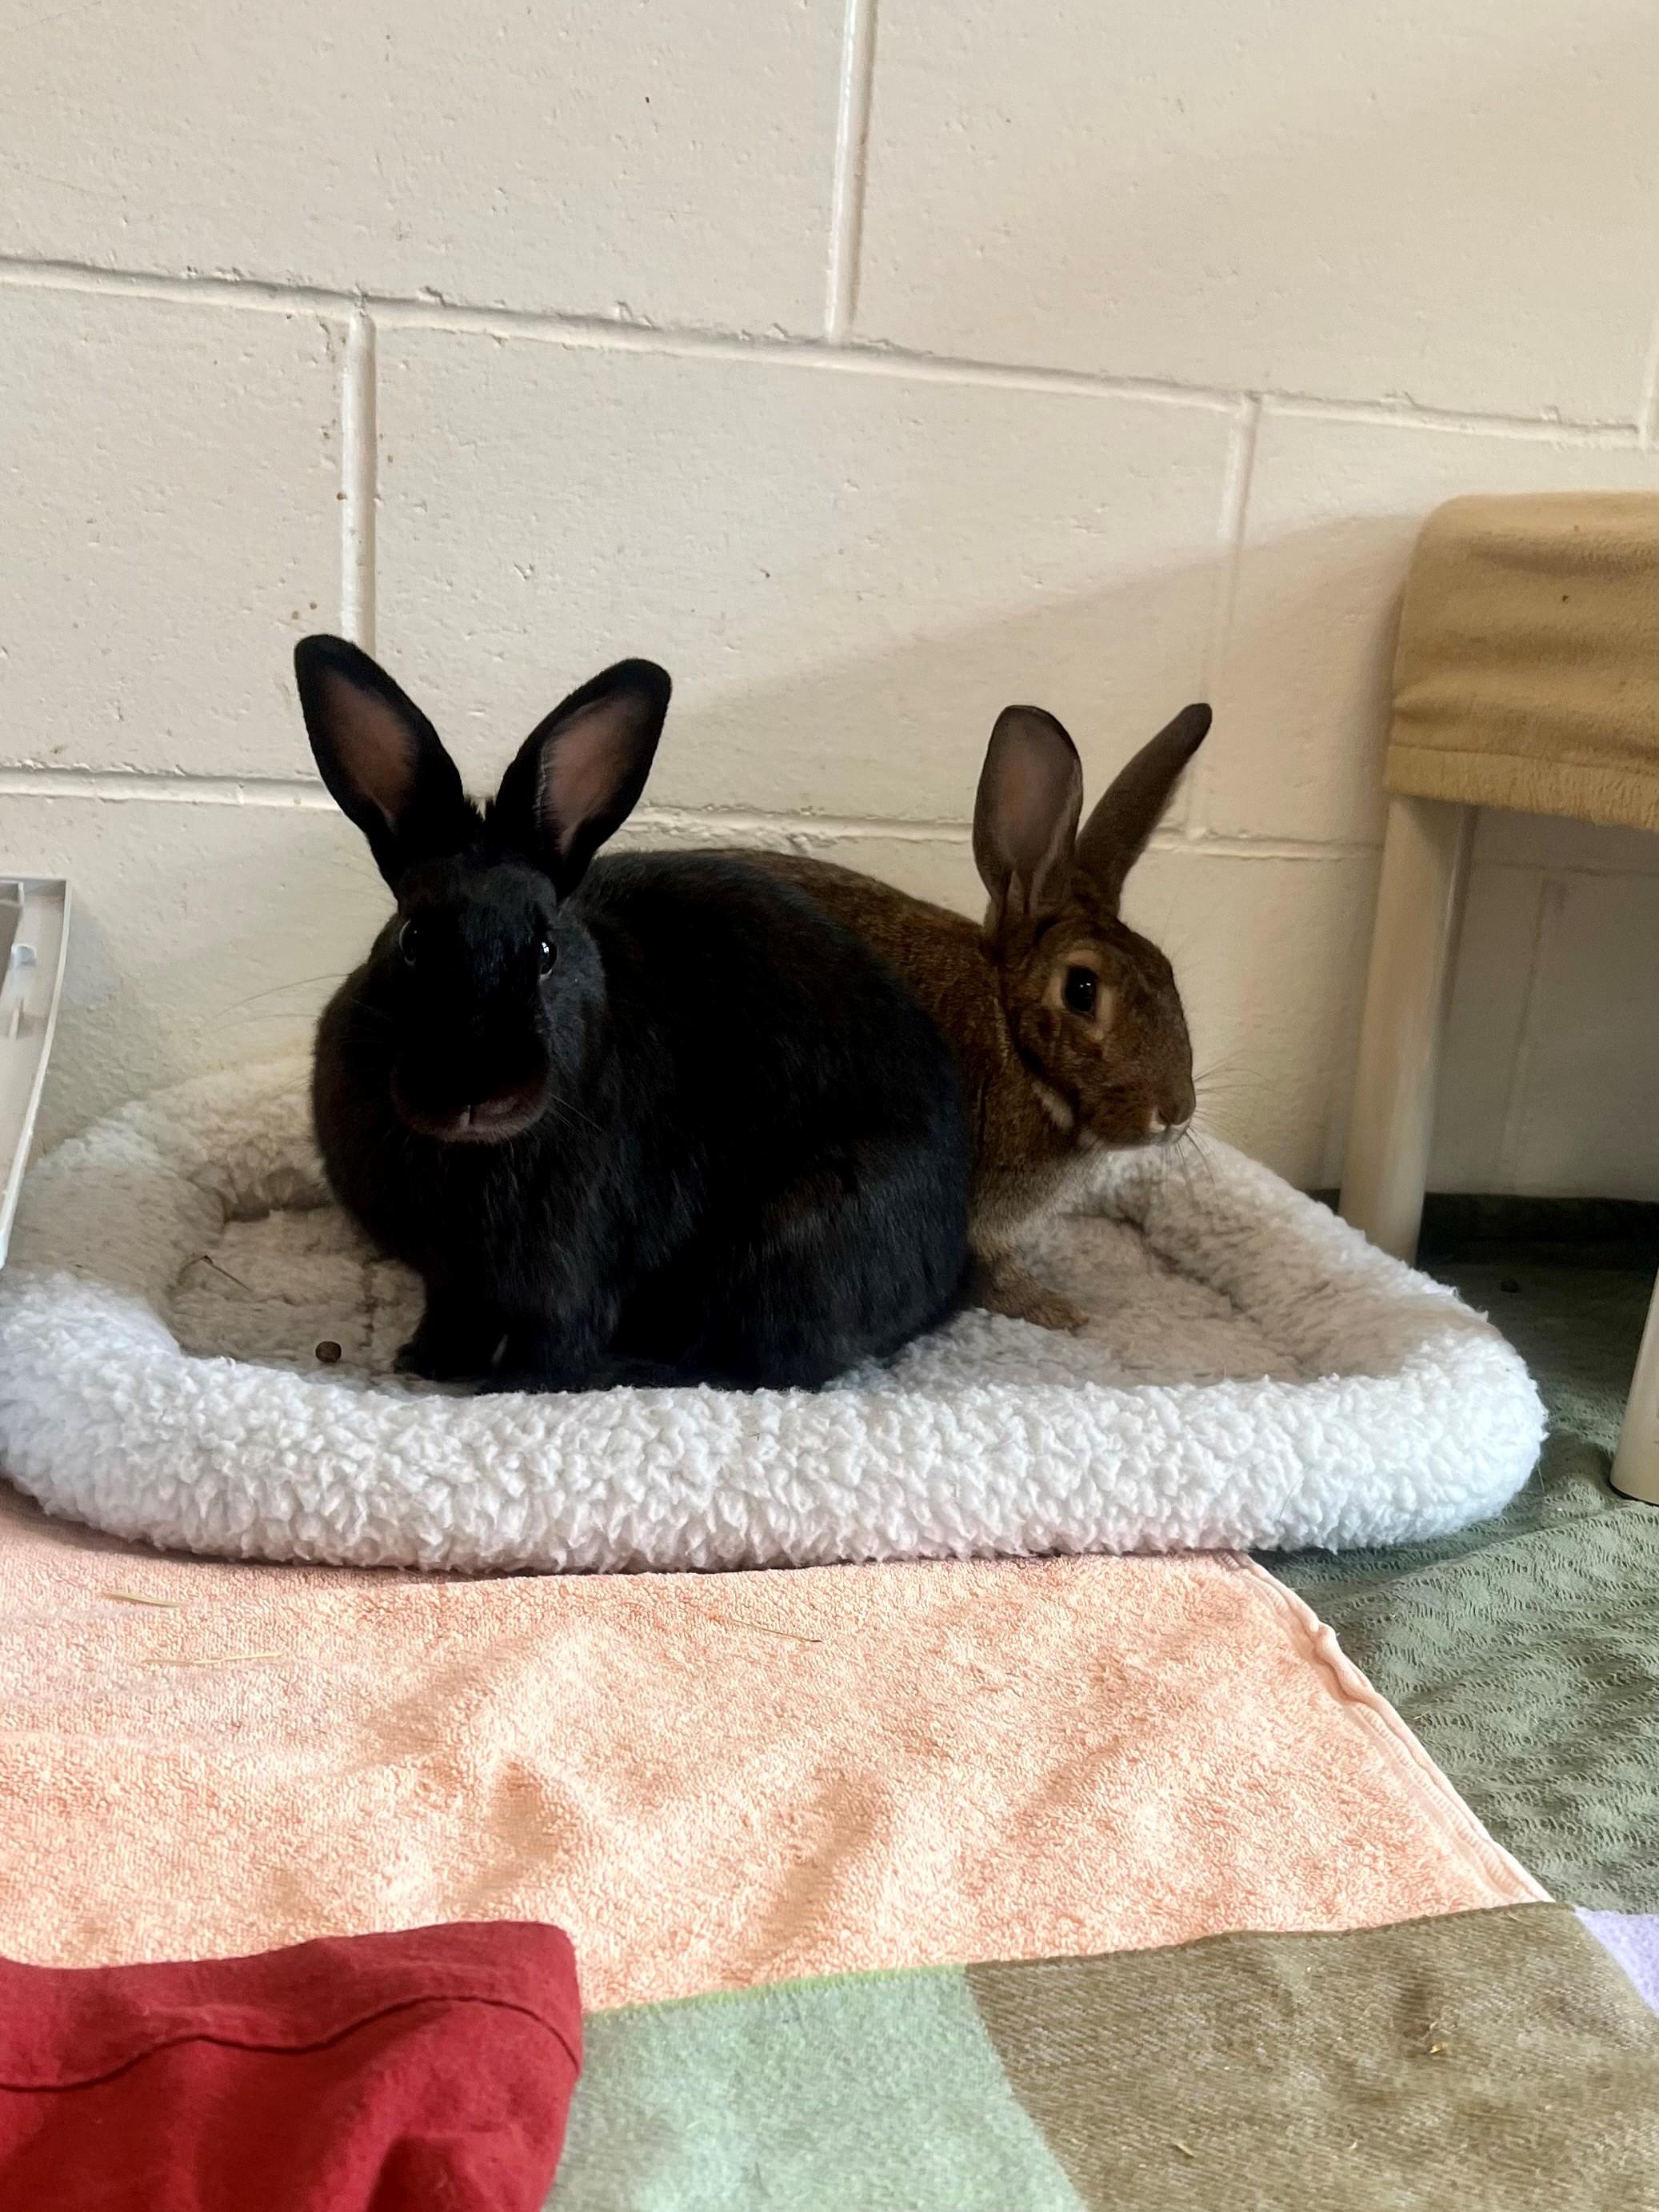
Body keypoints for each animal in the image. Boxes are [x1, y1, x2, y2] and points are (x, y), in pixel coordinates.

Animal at [294, 636, 971, 1393]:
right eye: (411, 940)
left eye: (546, 950)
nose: (474, 1090)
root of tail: (948, 1273)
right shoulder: (451, 1282)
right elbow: (452, 1315)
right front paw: (428, 1361)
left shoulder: (571, 1274)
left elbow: (555, 1344)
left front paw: (509, 1385)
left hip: (796, 1244)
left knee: (761, 1363)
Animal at [747, 699, 1210, 1333]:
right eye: (1082, 989)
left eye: (1166, 971)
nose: (1176, 1114)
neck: (1011, 1040)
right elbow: (995, 1274)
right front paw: (1059, 1312)